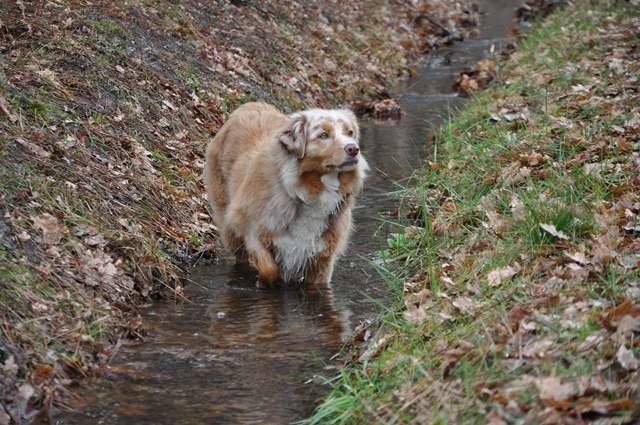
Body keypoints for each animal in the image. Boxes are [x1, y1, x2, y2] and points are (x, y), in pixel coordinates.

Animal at [202, 101, 368, 286]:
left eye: (350, 133)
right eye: (323, 135)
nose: (354, 149)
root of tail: (249, 104)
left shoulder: (323, 254)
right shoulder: (253, 229)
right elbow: (270, 270)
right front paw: (263, 282)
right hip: (227, 220)